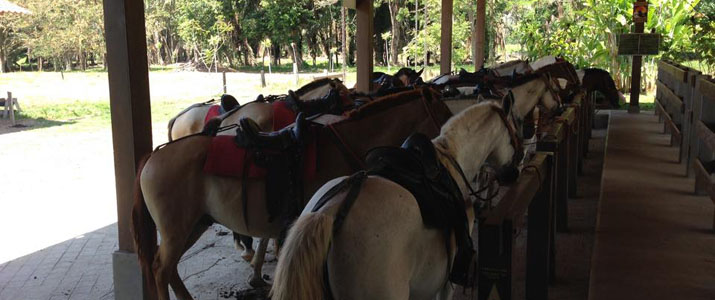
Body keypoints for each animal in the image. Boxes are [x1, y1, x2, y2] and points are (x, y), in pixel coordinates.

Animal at [133, 87, 454, 300]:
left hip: (195, 224)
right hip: (176, 230)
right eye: (442, 113)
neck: (344, 142)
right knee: (161, 268)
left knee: (169, 269)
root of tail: (152, 157)